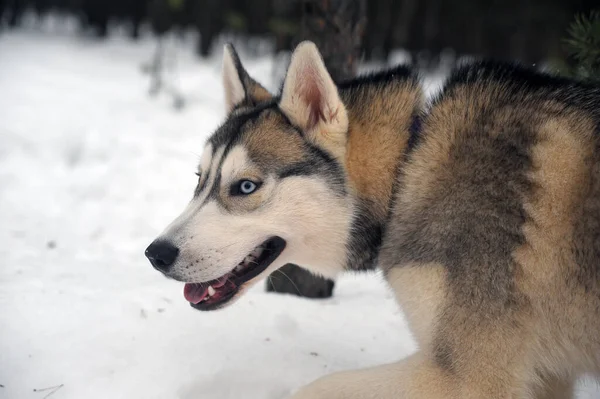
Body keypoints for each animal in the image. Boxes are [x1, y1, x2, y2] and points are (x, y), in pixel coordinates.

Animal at [145, 42, 600, 398]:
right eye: (200, 179)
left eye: (245, 187)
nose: (156, 254)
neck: (408, 165)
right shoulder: (546, 378)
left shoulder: (469, 380)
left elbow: (316, 388)